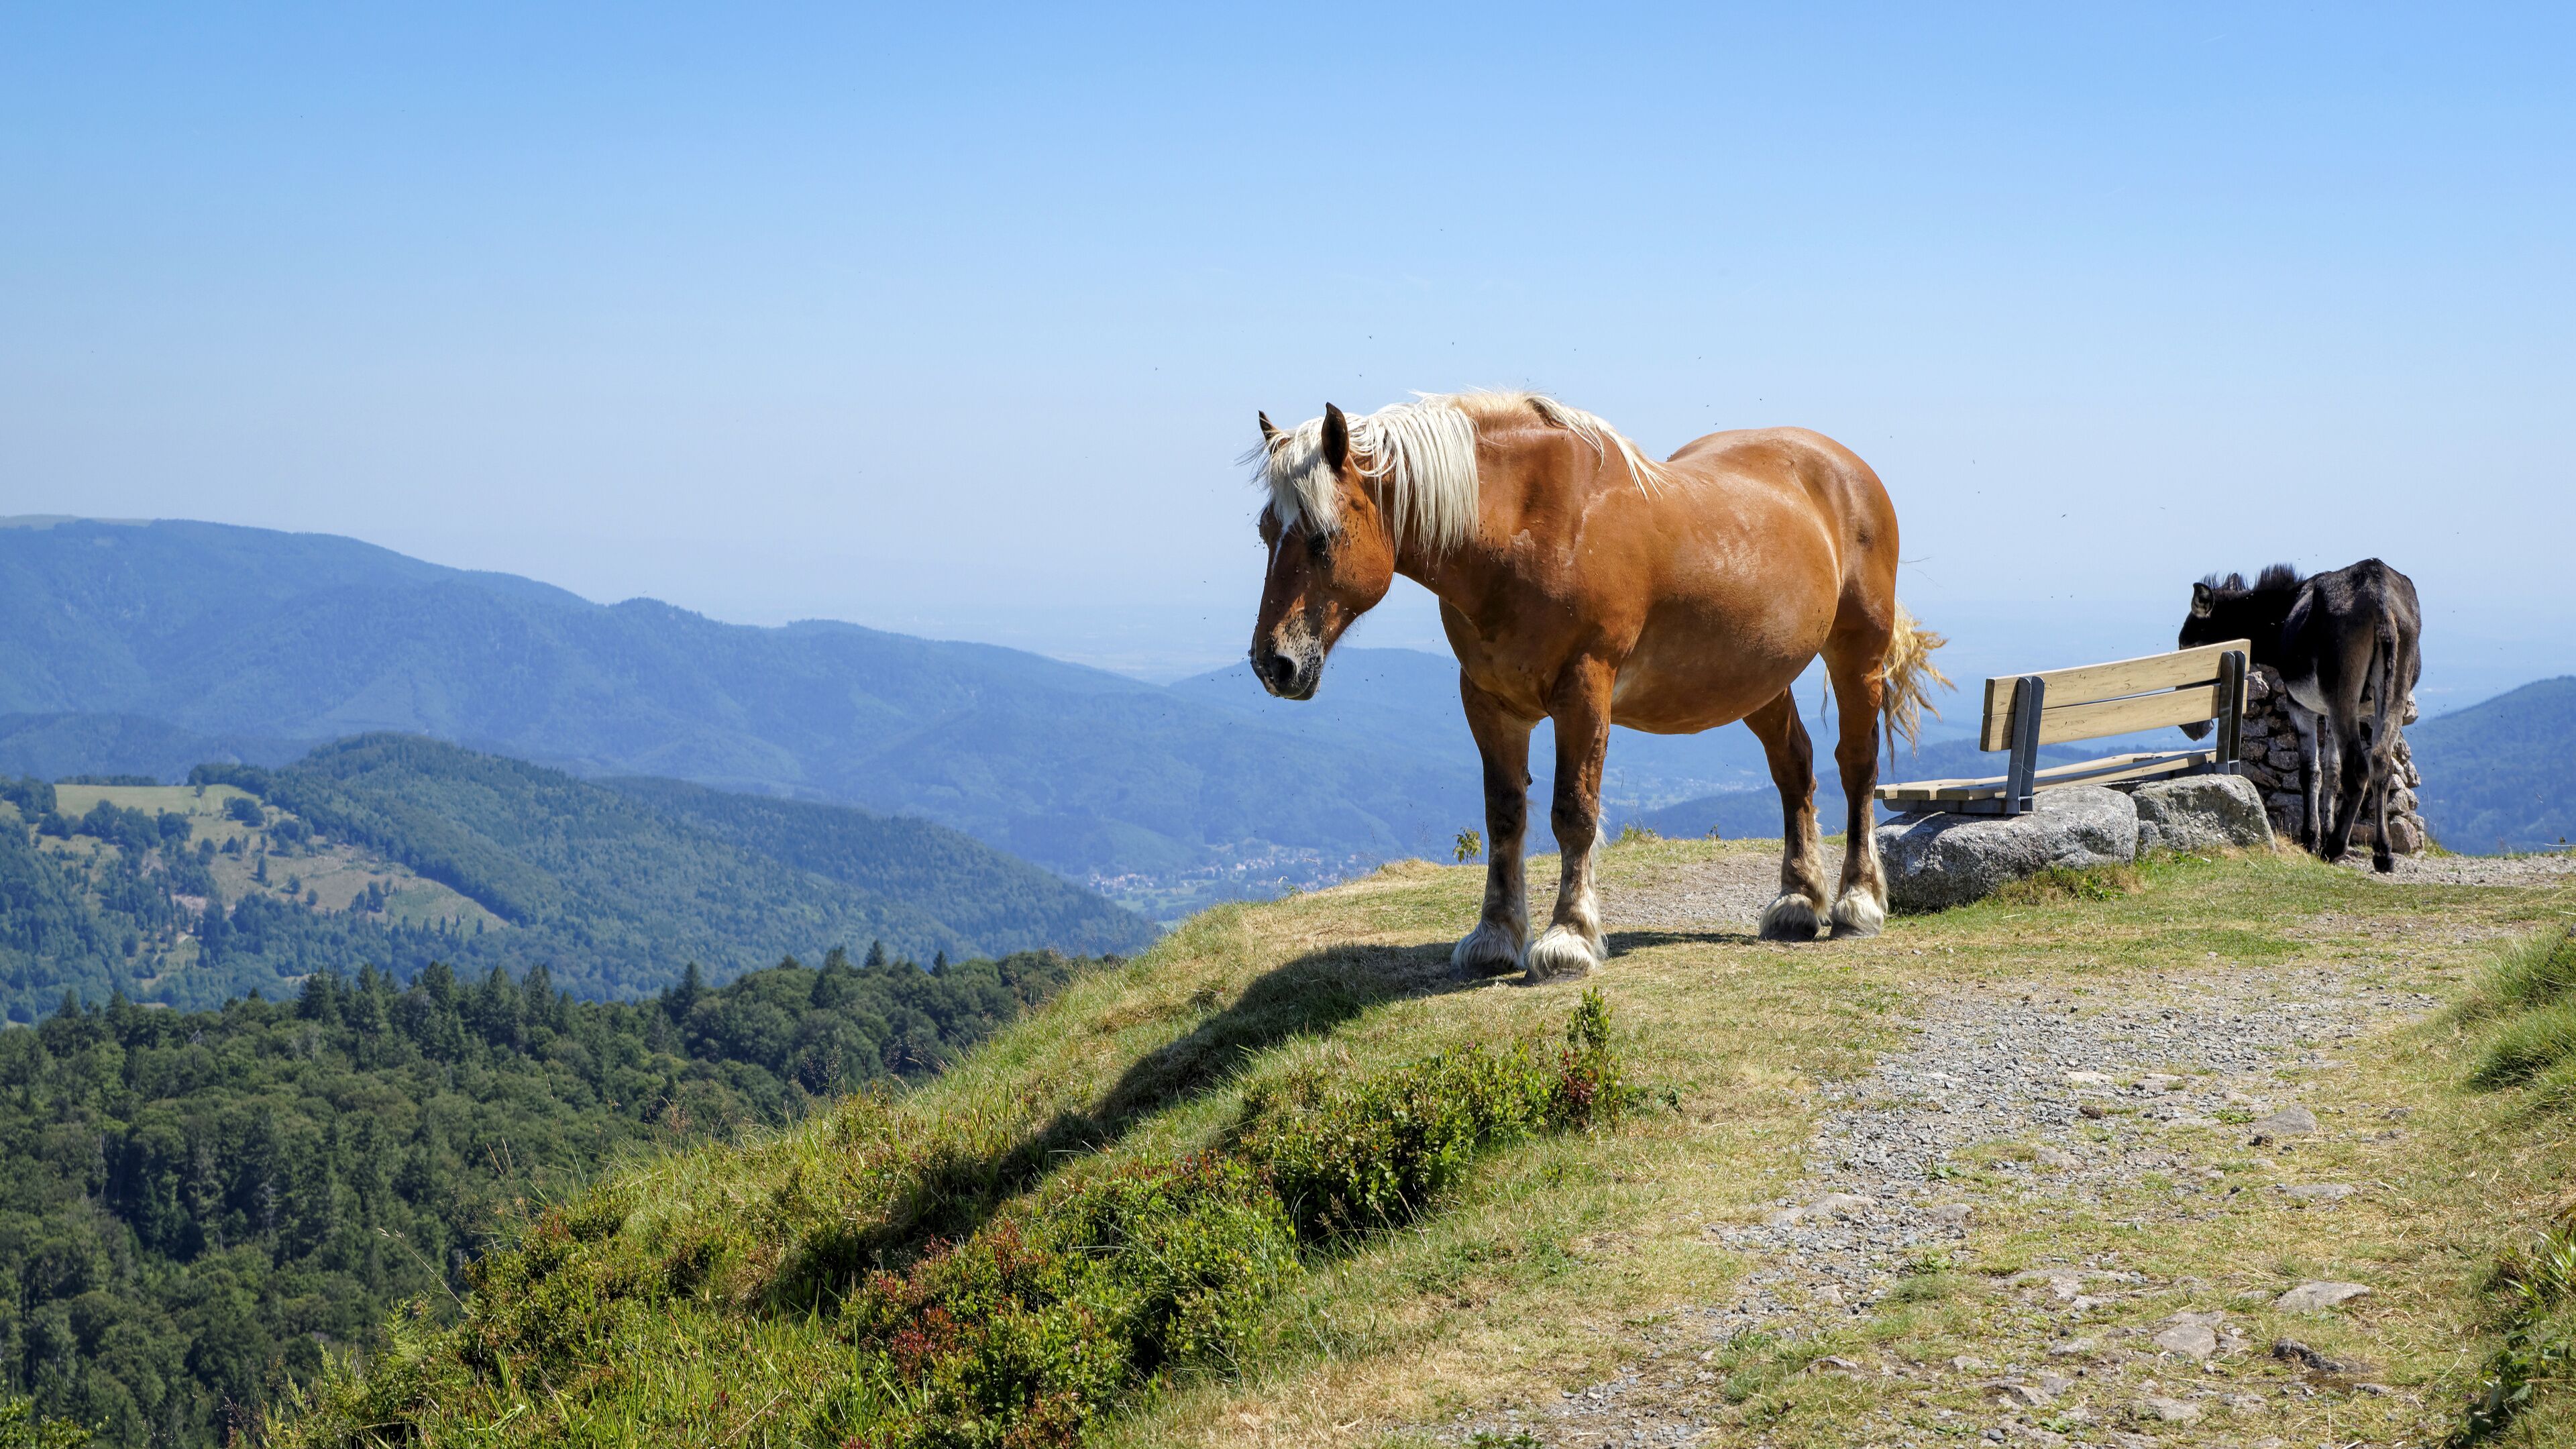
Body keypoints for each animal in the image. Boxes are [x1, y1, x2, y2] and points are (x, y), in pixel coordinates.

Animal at [1243, 391, 1944, 981]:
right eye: (1265, 533)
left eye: (1322, 538)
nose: (1273, 664)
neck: (1527, 527)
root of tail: (1849, 470)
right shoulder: (1488, 702)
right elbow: (1505, 815)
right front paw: (1494, 937)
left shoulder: (1584, 693)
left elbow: (1572, 813)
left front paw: (1568, 938)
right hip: (1758, 678)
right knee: (1795, 768)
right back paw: (1798, 900)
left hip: (1857, 654)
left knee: (1857, 767)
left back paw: (1857, 902)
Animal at [2178, 559, 2421, 871]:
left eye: (2188, 652)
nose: (2191, 728)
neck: (2281, 618)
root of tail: (2379, 595)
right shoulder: (2329, 711)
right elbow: (2331, 771)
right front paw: (2325, 830)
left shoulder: (2300, 705)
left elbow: (2309, 772)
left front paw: (2312, 838)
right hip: (2391, 696)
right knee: (2380, 763)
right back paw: (2383, 853)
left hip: (2343, 696)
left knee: (2358, 769)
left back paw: (2335, 848)